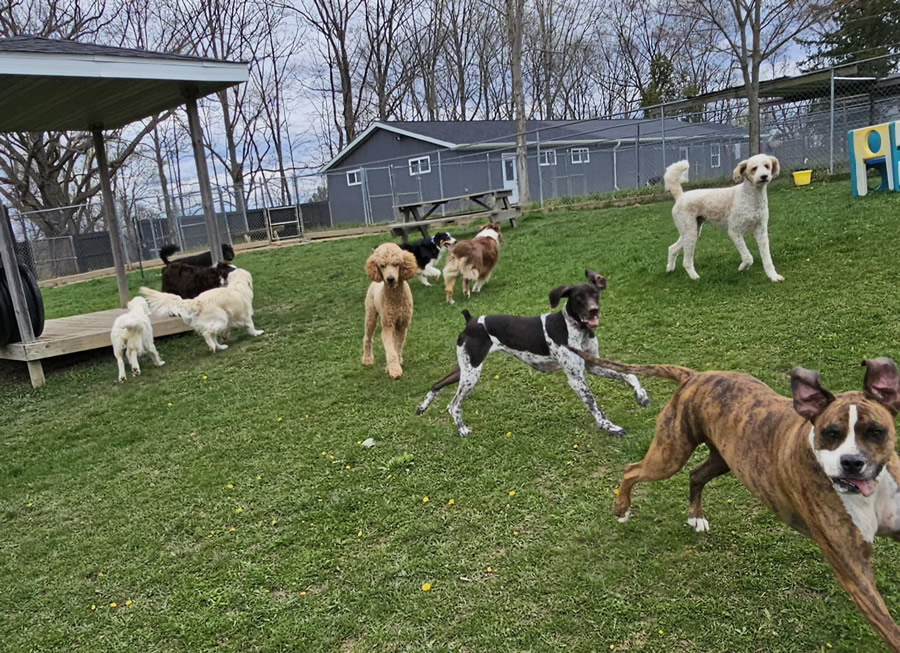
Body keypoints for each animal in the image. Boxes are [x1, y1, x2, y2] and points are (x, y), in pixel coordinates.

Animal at [362, 243, 418, 376]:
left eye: (396, 264)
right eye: (382, 266)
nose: (390, 279)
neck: (396, 298)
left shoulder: (402, 325)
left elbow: (397, 346)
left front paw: (393, 365)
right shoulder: (387, 325)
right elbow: (391, 350)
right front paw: (394, 370)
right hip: (371, 315)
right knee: (367, 338)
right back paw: (367, 359)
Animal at [418, 270, 652, 438]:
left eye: (595, 294)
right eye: (578, 298)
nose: (594, 310)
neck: (577, 329)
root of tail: (471, 321)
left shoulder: (594, 366)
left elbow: (629, 374)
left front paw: (641, 395)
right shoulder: (576, 378)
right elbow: (596, 407)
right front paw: (610, 427)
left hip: (465, 368)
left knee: (437, 385)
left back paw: (422, 407)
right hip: (471, 375)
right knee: (453, 405)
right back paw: (462, 430)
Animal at [568, 348, 900, 648]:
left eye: (876, 432)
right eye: (830, 434)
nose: (852, 462)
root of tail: (695, 376)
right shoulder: (854, 571)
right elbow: (890, 629)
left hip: (723, 459)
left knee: (695, 475)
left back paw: (696, 516)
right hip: (669, 455)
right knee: (632, 470)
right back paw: (622, 509)